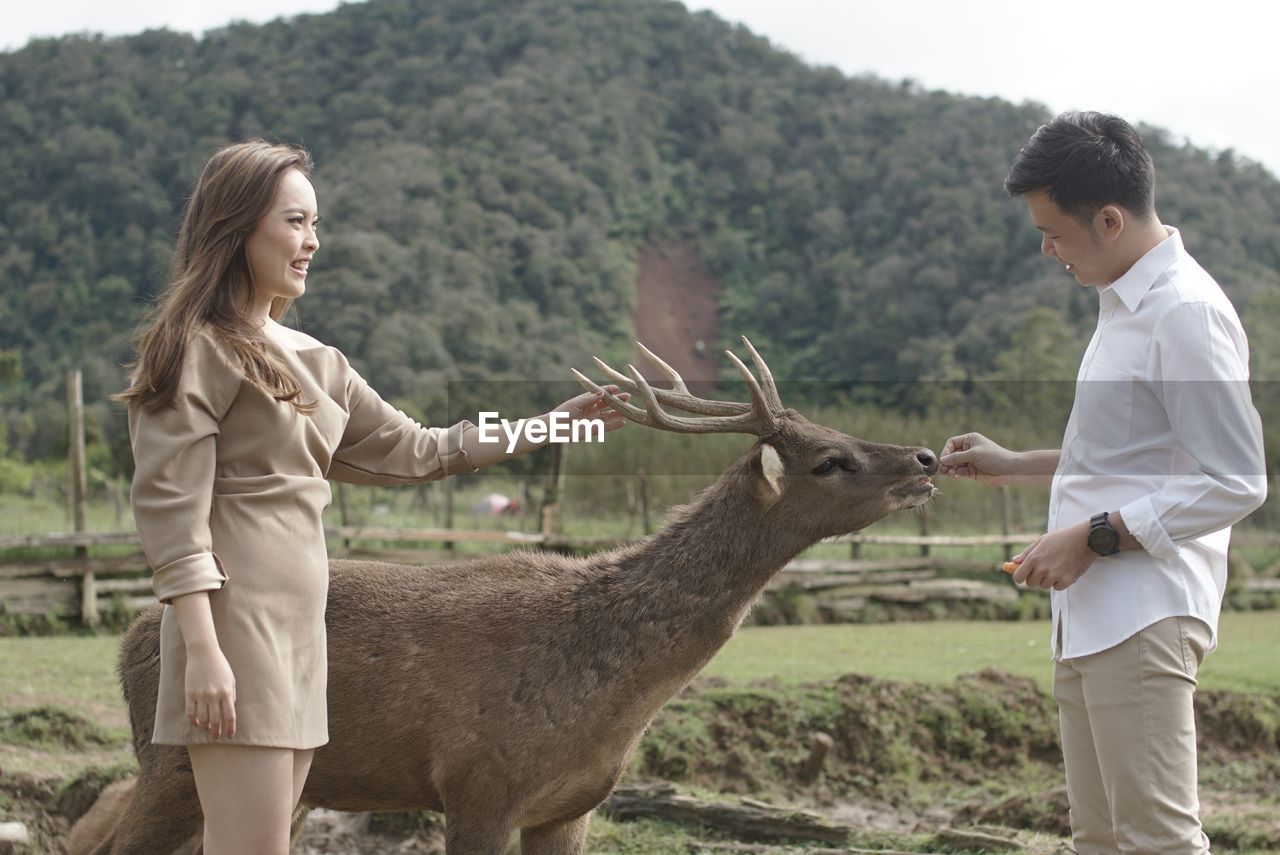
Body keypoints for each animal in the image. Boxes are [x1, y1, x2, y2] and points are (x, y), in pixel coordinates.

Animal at [82, 340, 942, 855]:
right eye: (829, 459)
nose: (927, 457)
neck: (614, 699)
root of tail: (127, 638)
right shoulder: (477, 782)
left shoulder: (569, 805)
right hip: (171, 759)